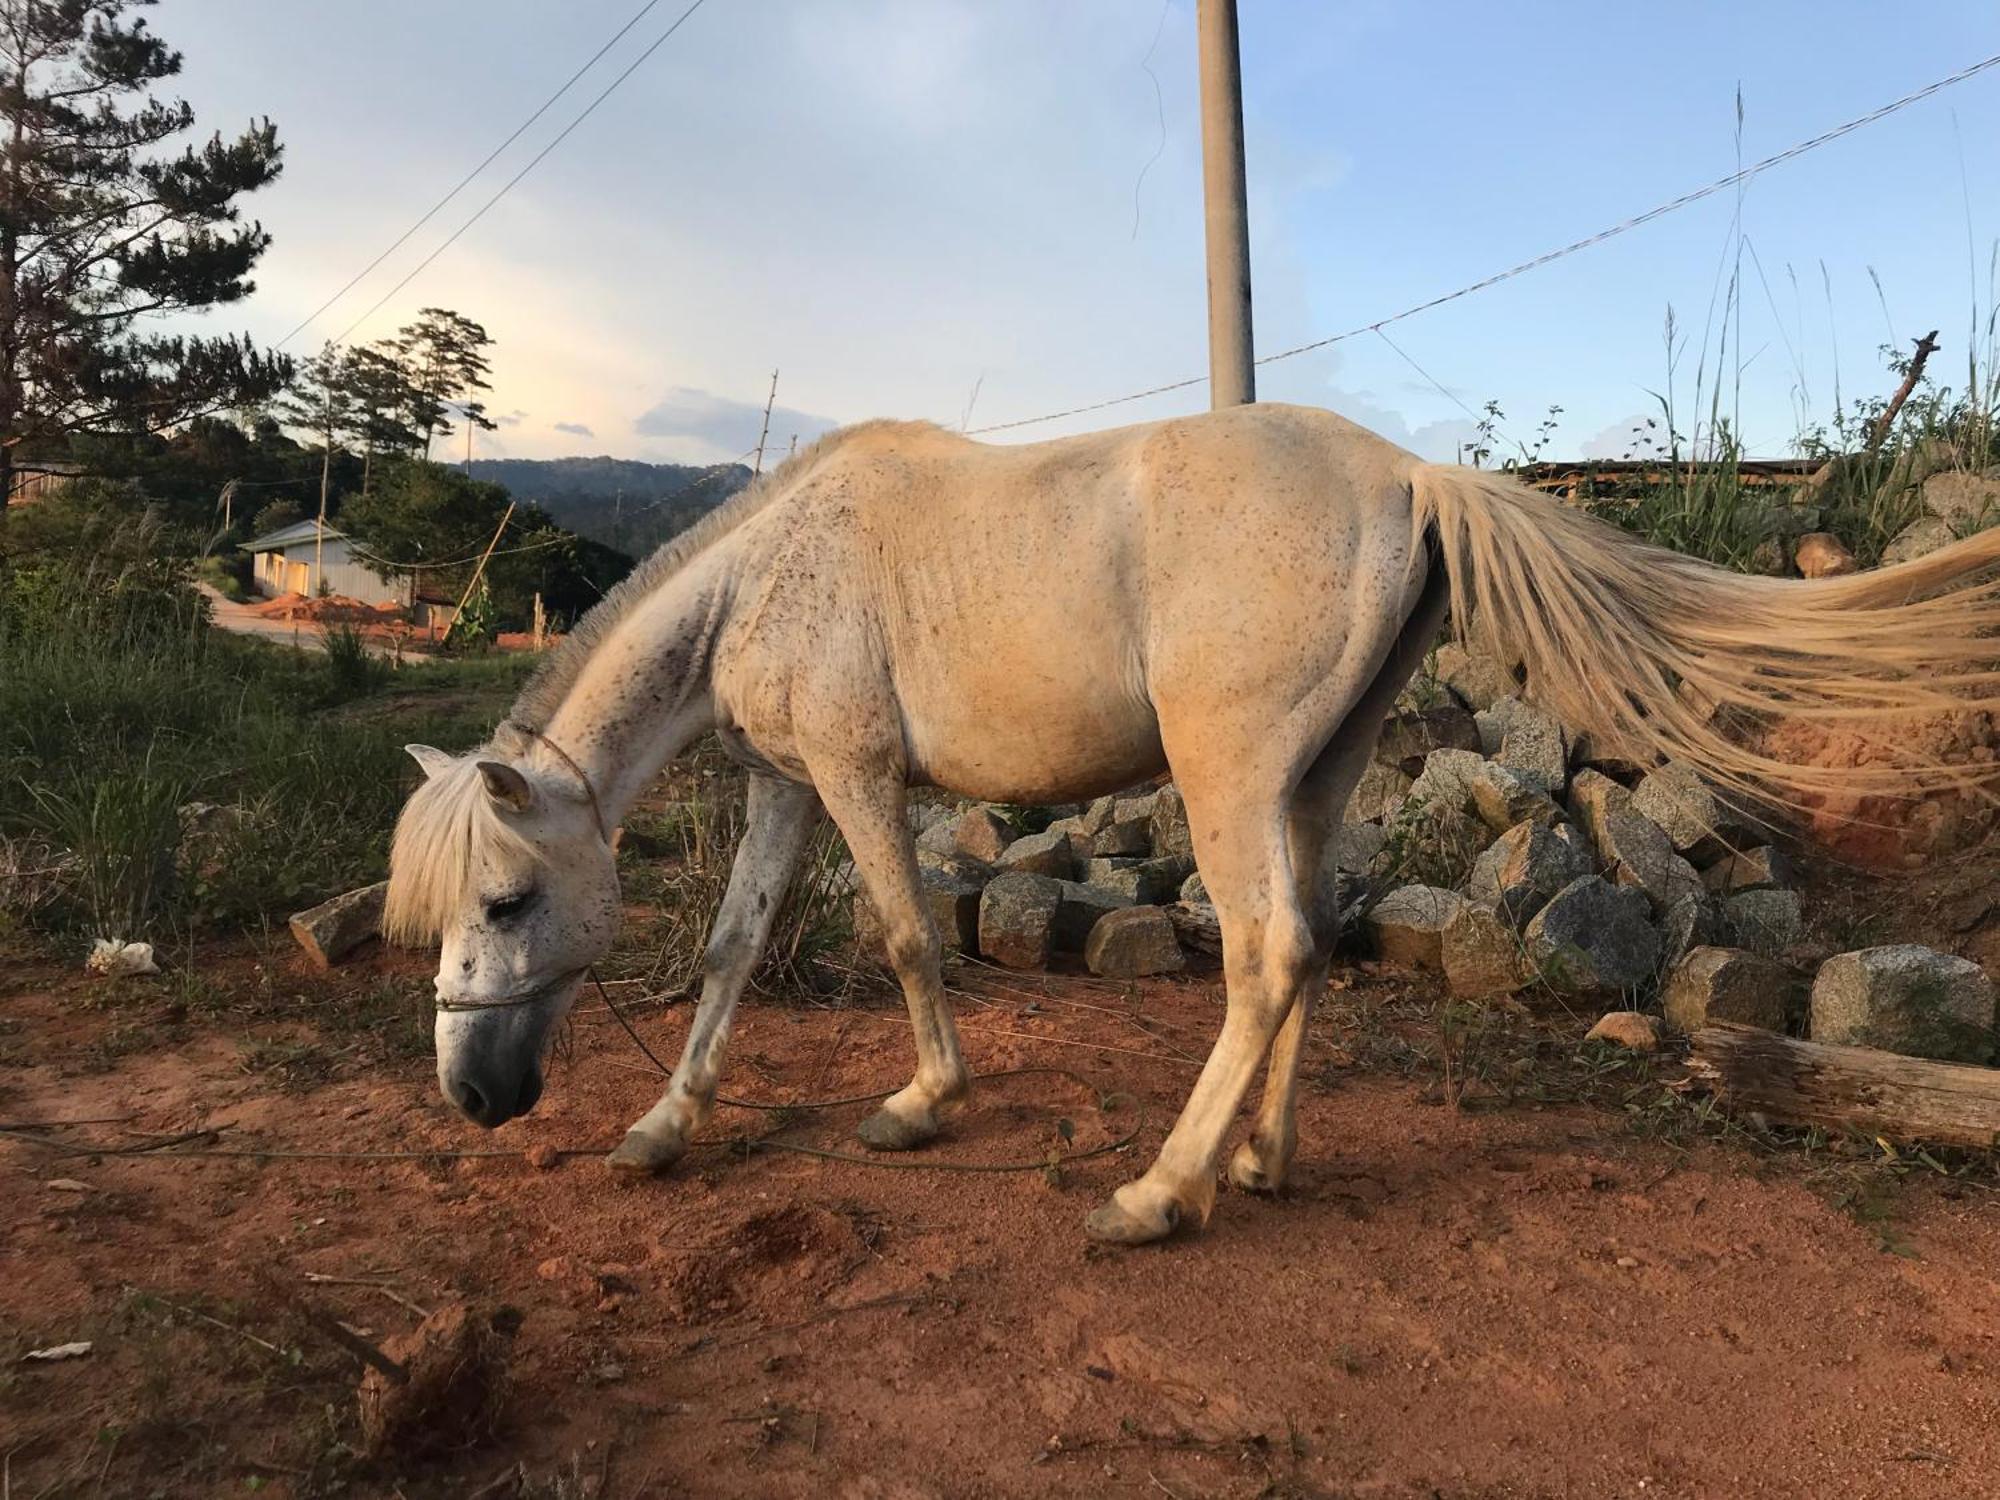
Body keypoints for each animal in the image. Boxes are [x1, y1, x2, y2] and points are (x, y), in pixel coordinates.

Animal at [386, 406, 2000, 1248]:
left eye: (508, 903)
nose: (474, 1098)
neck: (767, 570)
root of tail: (1408, 476)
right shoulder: (786, 783)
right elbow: (728, 953)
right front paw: (664, 1128)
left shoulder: (851, 777)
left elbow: (907, 940)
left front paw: (923, 1106)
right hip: (1311, 777)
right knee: (1314, 940)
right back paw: (1256, 1162)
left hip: (1227, 772)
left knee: (1265, 950)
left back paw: (1162, 1191)